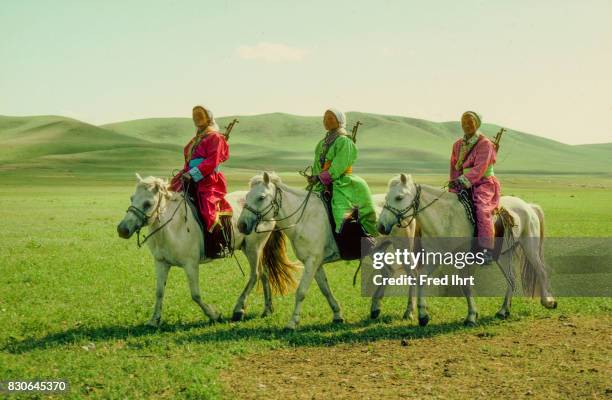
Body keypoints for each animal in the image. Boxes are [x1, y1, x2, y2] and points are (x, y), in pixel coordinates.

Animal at [116, 173, 298, 326]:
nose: (122, 229)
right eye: (132, 198)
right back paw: (267, 309)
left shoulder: (191, 265)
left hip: (254, 248)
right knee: (265, 273)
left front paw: (214, 315)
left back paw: (238, 310)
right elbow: (159, 292)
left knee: (256, 274)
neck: (173, 227)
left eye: (148, 203)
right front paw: (154, 320)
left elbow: (195, 294)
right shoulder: (161, 263)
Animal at [235, 172, 416, 332]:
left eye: (261, 197)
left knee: (412, 274)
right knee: (387, 271)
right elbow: (325, 289)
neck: (304, 219)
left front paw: (292, 323)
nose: (241, 225)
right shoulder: (316, 264)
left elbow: (301, 292)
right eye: (247, 195)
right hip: (377, 250)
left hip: (403, 248)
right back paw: (375, 309)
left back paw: (408, 312)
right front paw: (337, 315)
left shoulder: (311, 262)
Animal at [376, 173, 556, 326]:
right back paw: (503, 311)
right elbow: (421, 278)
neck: (446, 219)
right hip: (504, 255)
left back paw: (548, 302)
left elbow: (466, 286)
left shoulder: (463, 259)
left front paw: (471, 316)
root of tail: (528, 206)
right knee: (511, 279)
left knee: (541, 270)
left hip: (529, 246)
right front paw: (423, 316)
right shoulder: (434, 257)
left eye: (399, 197)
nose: (381, 226)